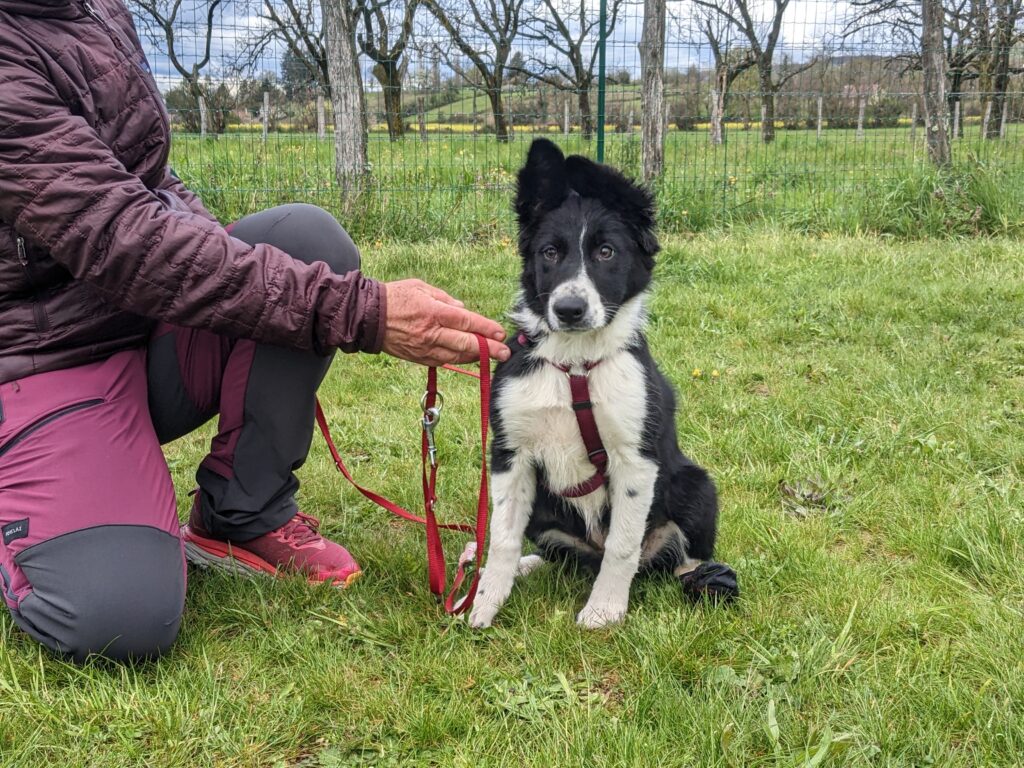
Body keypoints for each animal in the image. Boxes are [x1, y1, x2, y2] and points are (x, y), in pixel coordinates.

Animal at [468, 140, 733, 630]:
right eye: (550, 253)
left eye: (606, 252)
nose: (569, 309)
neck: (575, 366)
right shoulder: (510, 455)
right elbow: (503, 537)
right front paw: (484, 601)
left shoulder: (635, 460)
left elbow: (622, 545)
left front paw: (605, 608)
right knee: (558, 554)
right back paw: (529, 565)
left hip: (697, 483)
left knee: (673, 555)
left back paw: (704, 576)